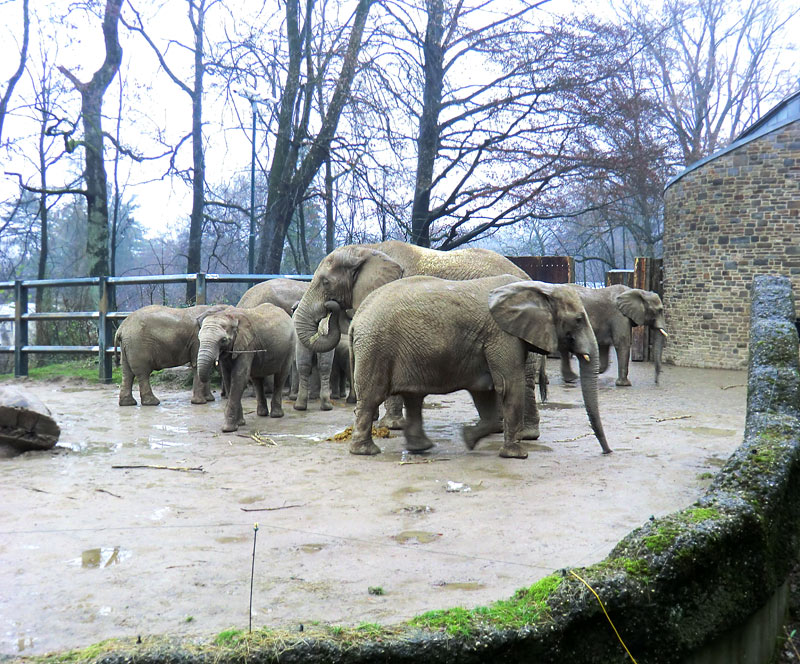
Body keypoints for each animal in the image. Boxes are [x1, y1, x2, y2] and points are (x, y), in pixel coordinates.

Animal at [197, 304, 296, 434]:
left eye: (223, 340)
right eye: (199, 338)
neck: (229, 316)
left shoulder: (248, 345)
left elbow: (239, 377)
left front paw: (228, 429)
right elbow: (228, 378)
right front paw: (240, 423)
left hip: (290, 346)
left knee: (281, 376)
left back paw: (276, 415)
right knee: (257, 379)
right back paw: (262, 413)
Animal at [290, 241, 540, 438]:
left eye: (325, 282)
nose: (331, 306)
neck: (368, 249)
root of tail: (528, 275)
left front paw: (389, 426)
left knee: (521, 374)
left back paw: (524, 434)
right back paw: (501, 429)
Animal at [346, 274, 612, 456]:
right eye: (579, 319)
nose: (607, 452)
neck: (538, 289)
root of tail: (356, 318)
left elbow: (484, 391)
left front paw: (468, 438)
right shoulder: (502, 336)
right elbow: (508, 386)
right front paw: (517, 455)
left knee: (414, 397)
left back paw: (420, 448)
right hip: (376, 347)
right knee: (371, 397)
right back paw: (366, 451)